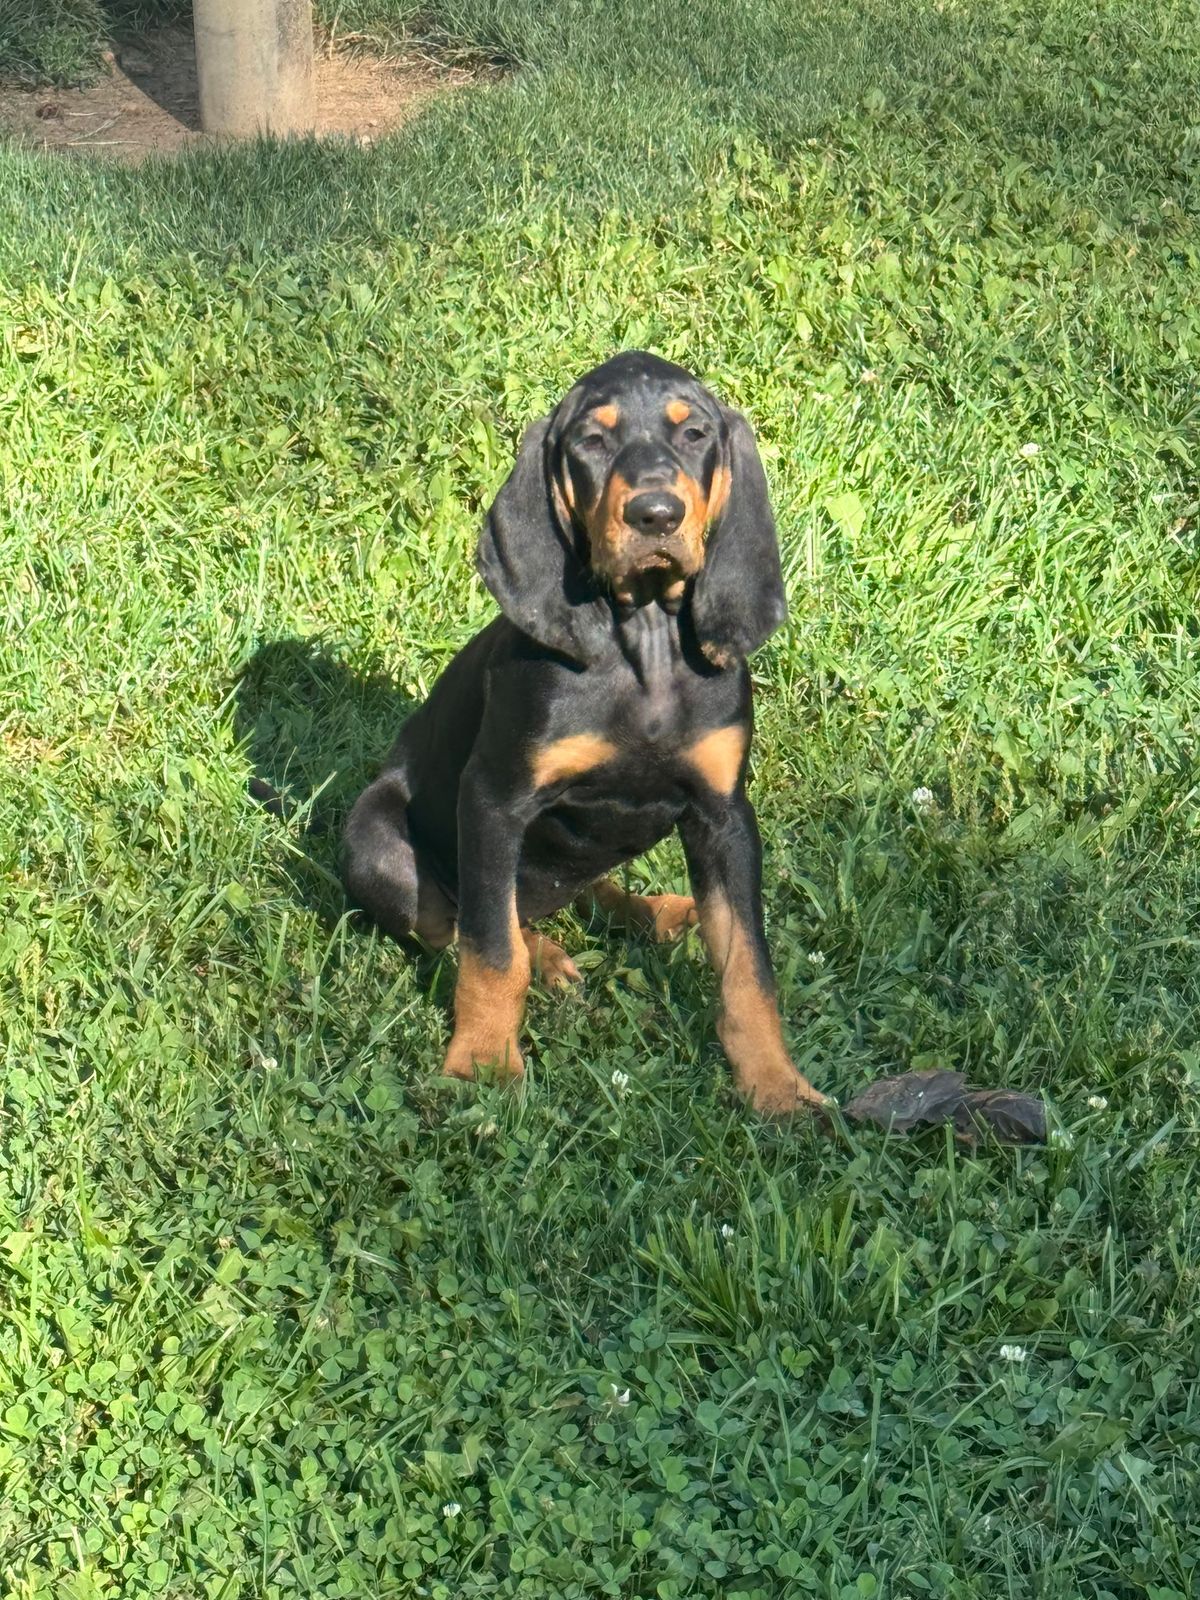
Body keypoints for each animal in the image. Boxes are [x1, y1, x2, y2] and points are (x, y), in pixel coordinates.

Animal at [339, 350, 825, 1113]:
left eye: (694, 435)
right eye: (592, 442)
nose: (655, 513)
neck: (643, 639)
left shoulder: (725, 815)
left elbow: (749, 966)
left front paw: (776, 1086)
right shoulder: (494, 799)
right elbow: (490, 950)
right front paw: (483, 1062)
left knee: (580, 889)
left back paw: (660, 913)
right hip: (375, 843)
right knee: (470, 918)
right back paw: (546, 957)